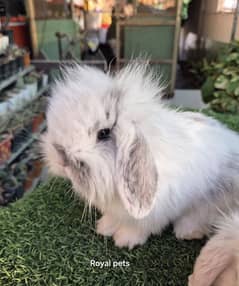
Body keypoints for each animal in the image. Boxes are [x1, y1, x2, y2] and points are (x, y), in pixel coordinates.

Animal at [41, 62, 239, 248]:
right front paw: (104, 228)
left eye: (103, 133)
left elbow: (137, 228)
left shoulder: (150, 215)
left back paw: (188, 233)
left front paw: (125, 240)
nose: (60, 159)